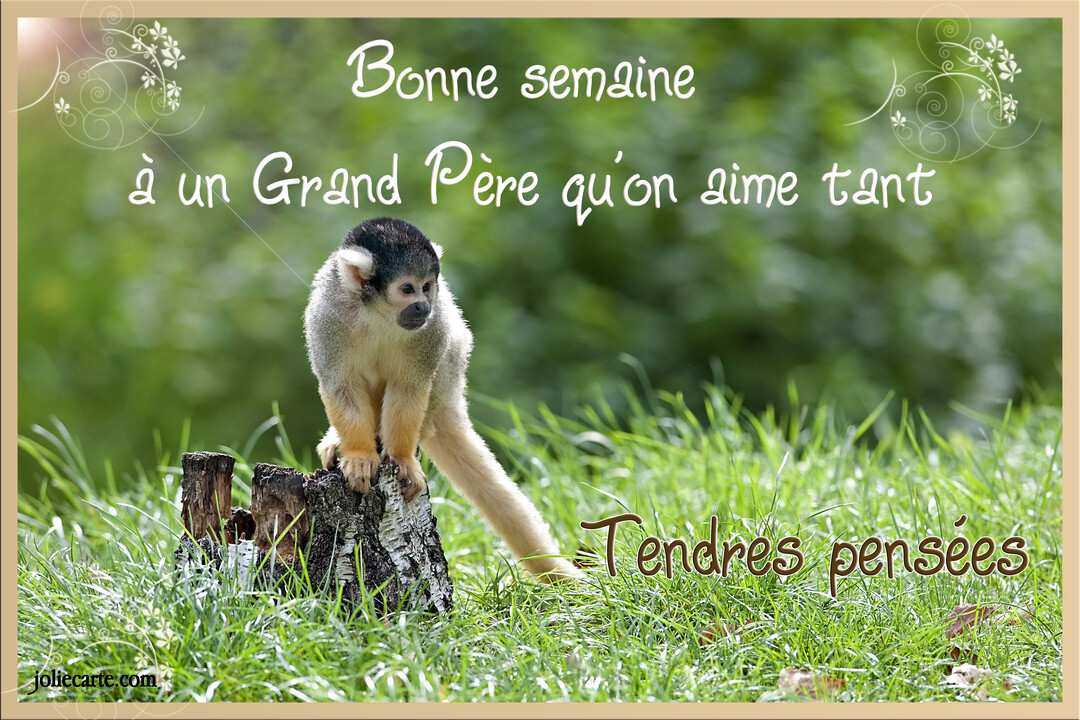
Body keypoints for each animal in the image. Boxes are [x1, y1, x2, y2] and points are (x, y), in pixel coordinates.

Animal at [304, 218, 580, 582]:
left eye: (427, 286)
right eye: (408, 289)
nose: (424, 305)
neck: (376, 313)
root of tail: (451, 403)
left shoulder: (431, 327)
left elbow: (410, 385)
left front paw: (402, 459)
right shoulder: (328, 314)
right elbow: (340, 385)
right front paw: (360, 455)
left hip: (446, 383)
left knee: (451, 347)